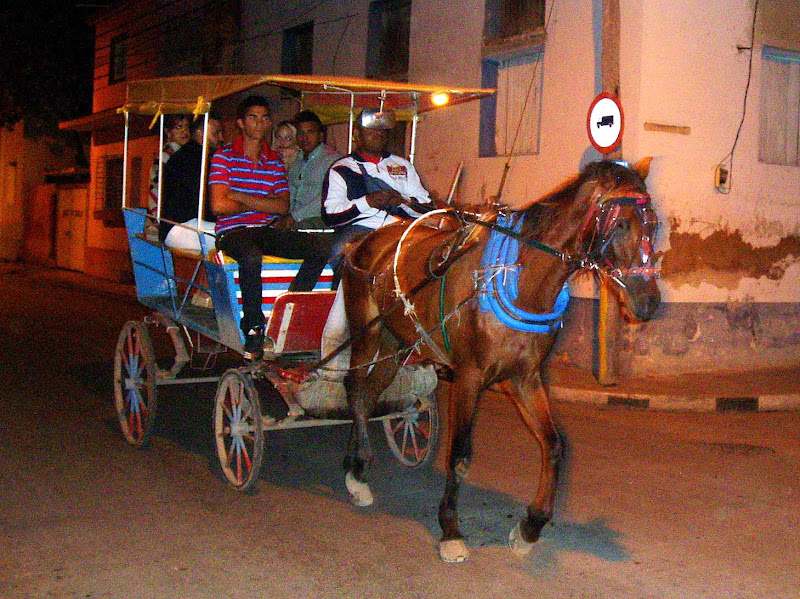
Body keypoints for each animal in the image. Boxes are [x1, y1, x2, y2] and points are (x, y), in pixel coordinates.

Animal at [340, 158, 660, 564]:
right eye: (619, 225)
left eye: (655, 225)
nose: (649, 302)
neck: (523, 279)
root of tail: (363, 242)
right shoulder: (468, 377)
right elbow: (459, 454)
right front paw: (450, 530)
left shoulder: (525, 378)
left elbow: (554, 445)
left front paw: (530, 527)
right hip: (366, 334)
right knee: (354, 389)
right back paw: (357, 472)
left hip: (395, 344)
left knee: (368, 396)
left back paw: (357, 465)